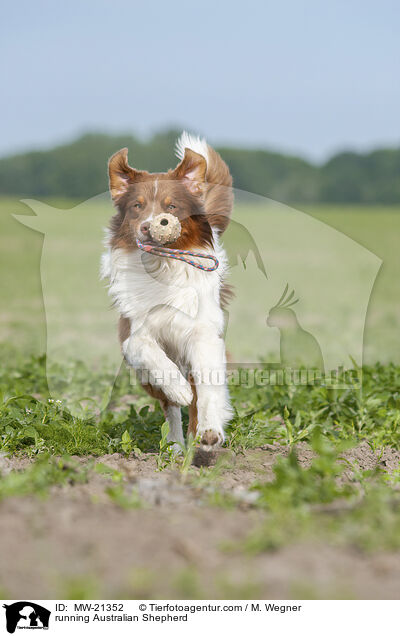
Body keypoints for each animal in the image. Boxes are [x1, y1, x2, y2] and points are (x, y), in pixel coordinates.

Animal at [102, 133, 234, 452]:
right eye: (137, 206)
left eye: (171, 207)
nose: (148, 226)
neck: (163, 268)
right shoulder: (133, 334)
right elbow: (146, 350)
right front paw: (179, 390)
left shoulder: (205, 334)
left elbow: (207, 389)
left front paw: (210, 429)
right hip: (146, 378)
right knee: (169, 408)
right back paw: (174, 444)